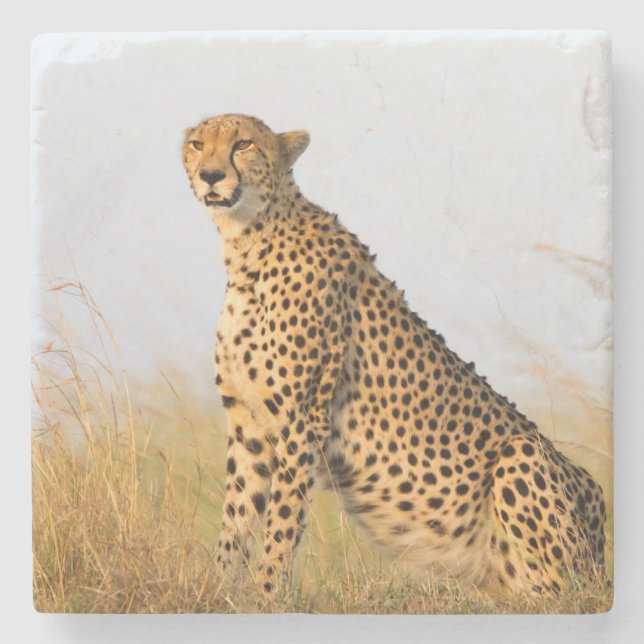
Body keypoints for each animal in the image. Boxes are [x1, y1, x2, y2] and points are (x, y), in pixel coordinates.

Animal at [182, 113, 607, 597]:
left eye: (243, 145)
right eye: (198, 145)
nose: (210, 175)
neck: (249, 241)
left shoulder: (300, 420)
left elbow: (282, 523)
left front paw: (268, 595)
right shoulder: (248, 423)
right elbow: (236, 518)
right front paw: (218, 591)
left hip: (523, 460)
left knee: (555, 591)